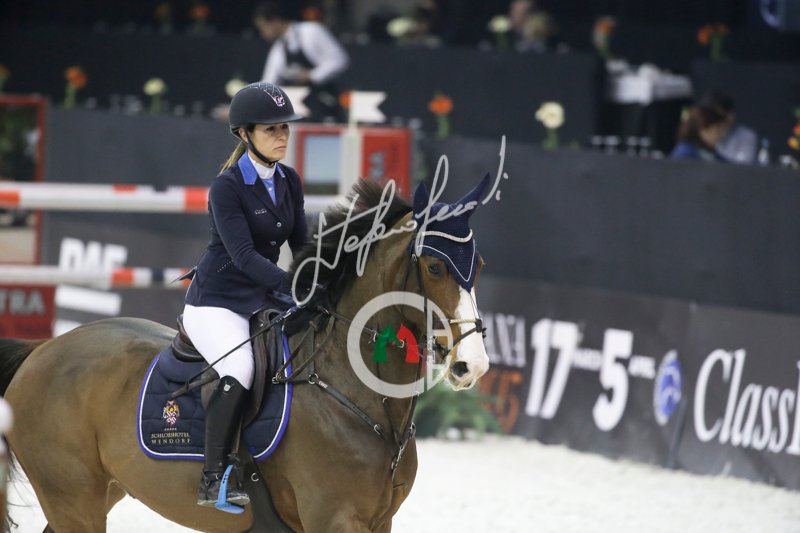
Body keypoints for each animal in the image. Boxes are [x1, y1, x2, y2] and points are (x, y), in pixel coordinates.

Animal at [1, 176, 491, 532]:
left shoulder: (379, 522)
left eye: (480, 265)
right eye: (435, 267)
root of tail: (43, 349)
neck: (352, 393)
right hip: (73, 501)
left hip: (99, 493)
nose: (474, 365)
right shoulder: (333, 519)